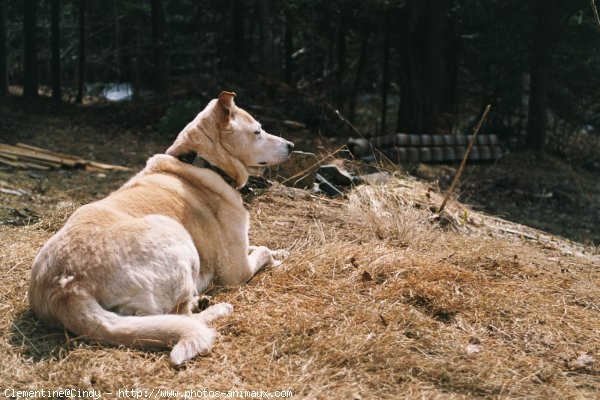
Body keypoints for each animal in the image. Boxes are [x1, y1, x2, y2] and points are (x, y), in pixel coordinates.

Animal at [28, 91, 296, 366]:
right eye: (258, 131)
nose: (291, 145)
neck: (202, 162)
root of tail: (67, 286)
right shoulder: (236, 270)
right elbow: (263, 250)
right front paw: (276, 259)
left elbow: (260, 245)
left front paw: (282, 252)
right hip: (176, 234)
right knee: (182, 316)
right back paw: (216, 309)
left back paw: (201, 301)